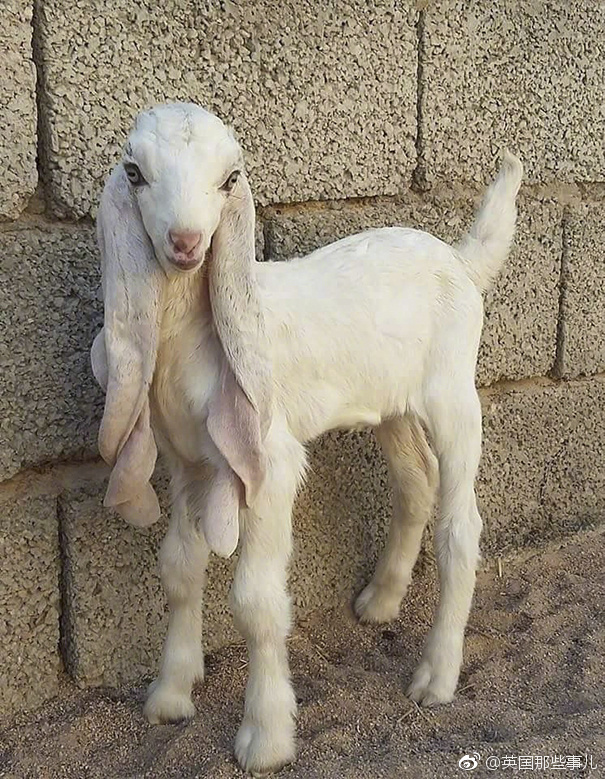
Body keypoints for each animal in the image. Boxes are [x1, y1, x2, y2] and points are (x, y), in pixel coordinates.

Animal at [90, 101, 523, 775]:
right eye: (134, 172)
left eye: (230, 179)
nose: (186, 244)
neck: (194, 334)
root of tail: (459, 259)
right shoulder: (189, 463)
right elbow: (180, 569)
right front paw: (169, 696)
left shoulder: (267, 461)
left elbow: (256, 603)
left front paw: (265, 737)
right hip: (391, 403)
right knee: (415, 482)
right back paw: (380, 602)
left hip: (454, 392)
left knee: (461, 526)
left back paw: (436, 676)